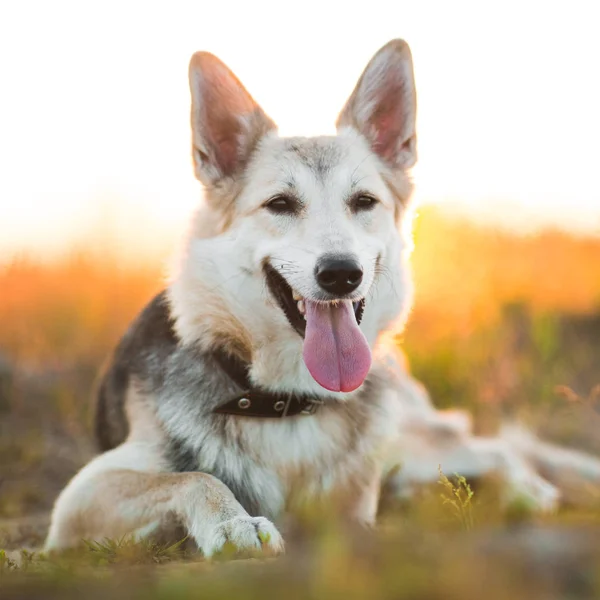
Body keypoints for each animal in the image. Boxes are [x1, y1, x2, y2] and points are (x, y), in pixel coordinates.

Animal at [44, 39, 600, 556]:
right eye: (280, 204)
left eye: (364, 202)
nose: (340, 275)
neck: (288, 402)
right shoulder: (77, 502)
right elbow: (195, 477)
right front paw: (233, 522)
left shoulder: (355, 506)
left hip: (411, 446)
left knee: (492, 450)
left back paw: (527, 492)